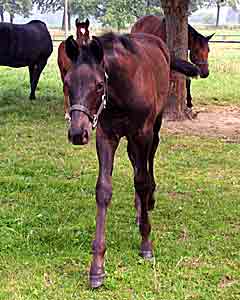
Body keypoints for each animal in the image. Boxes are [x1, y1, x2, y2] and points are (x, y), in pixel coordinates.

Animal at [63, 31, 199, 288]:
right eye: (67, 83)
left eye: (99, 85)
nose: (77, 133)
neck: (121, 93)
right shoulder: (106, 135)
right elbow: (104, 189)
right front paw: (97, 267)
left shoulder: (142, 133)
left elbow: (142, 181)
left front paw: (146, 244)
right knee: (136, 161)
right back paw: (138, 208)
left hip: (154, 125)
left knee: (149, 159)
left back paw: (149, 202)